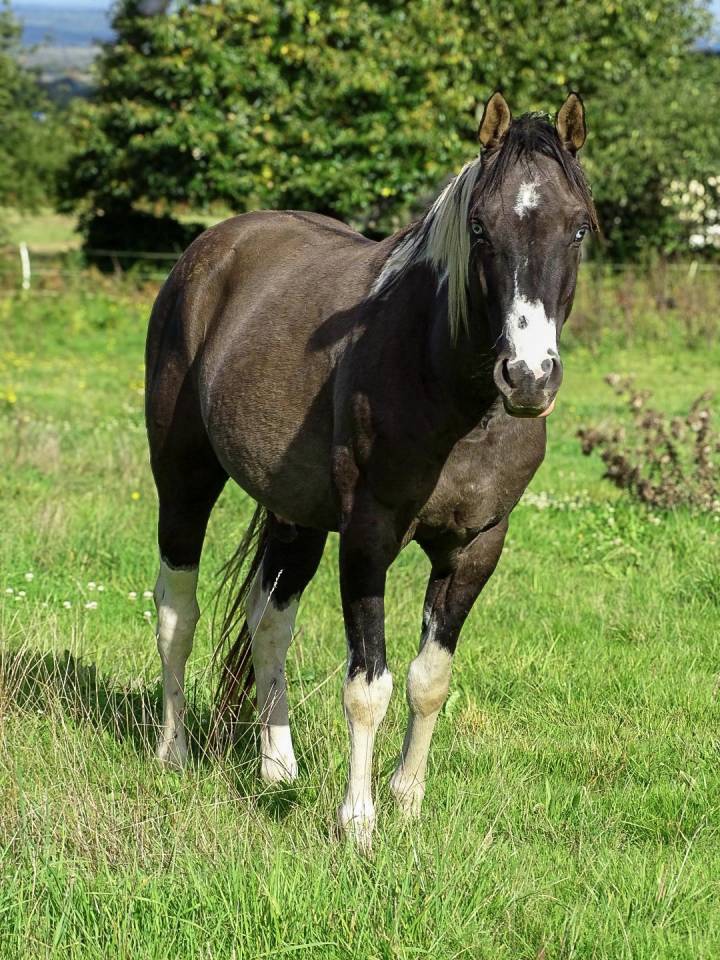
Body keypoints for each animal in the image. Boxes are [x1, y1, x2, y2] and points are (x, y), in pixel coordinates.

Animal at [145, 92, 597, 848]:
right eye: (480, 226)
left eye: (580, 228)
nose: (529, 376)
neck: (450, 391)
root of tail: (211, 251)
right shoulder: (367, 538)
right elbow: (367, 686)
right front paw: (358, 822)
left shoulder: (477, 547)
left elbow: (428, 678)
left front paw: (407, 800)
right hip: (184, 480)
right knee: (178, 612)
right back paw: (172, 752)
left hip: (296, 517)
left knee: (271, 623)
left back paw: (278, 769)